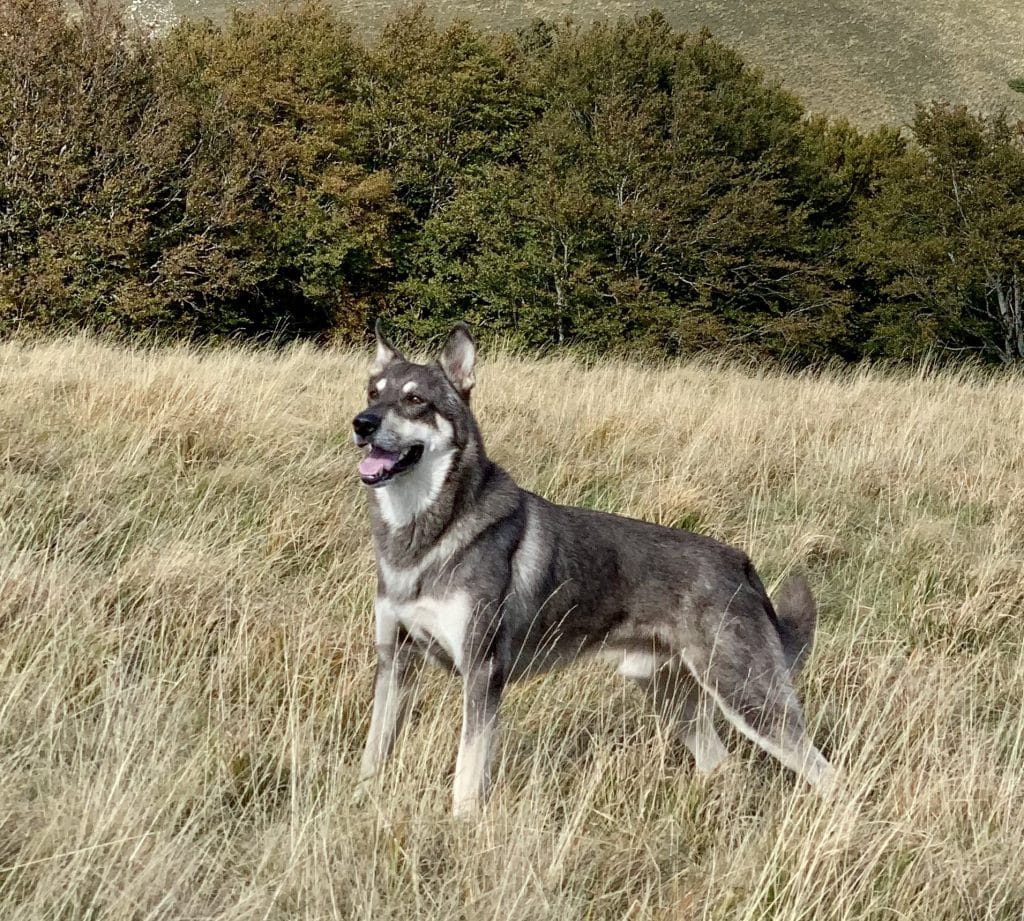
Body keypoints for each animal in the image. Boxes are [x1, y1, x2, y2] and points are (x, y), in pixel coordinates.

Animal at [352, 322, 835, 817]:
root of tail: (740, 562)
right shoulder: (394, 661)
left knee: (826, 773)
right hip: (667, 693)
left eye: (415, 400)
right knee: (720, 762)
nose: (362, 424)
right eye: (372, 392)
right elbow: (374, 750)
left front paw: (462, 823)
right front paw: (358, 802)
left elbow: (467, 773)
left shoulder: (482, 674)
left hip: (747, 694)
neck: (422, 537)